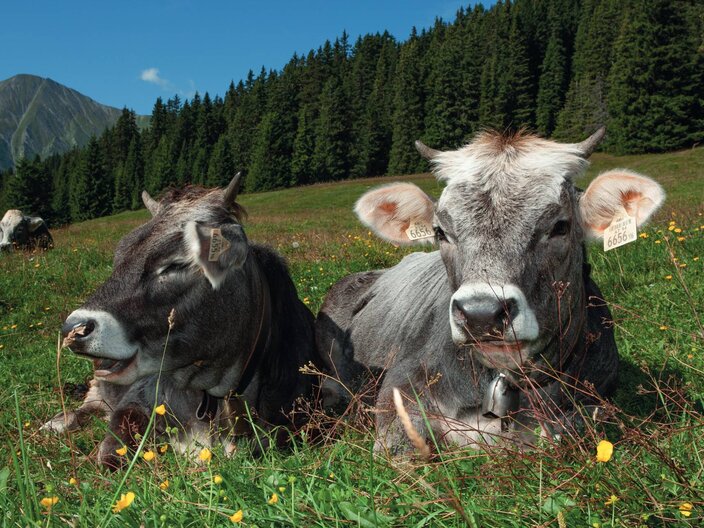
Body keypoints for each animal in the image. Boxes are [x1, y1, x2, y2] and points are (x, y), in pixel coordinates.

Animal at [316, 128, 665, 454]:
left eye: (560, 226)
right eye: (440, 232)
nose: (481, 315)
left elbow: (573, 427)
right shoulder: (399, 385)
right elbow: (406, 450)